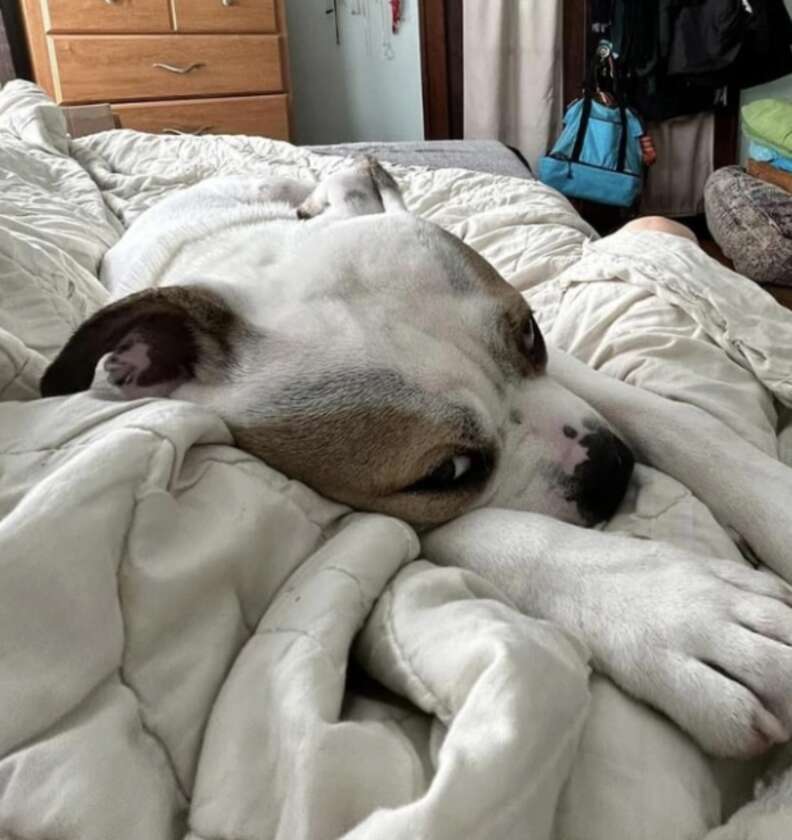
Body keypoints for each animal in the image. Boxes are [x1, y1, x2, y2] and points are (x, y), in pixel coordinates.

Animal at [40, 156, 792, 760]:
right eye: (445, 474)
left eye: (531, 333)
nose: (610, 470)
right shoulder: (358, 513)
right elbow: (494, 534)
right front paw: (677, 611)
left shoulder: (574, 381)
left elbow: (673, 420)